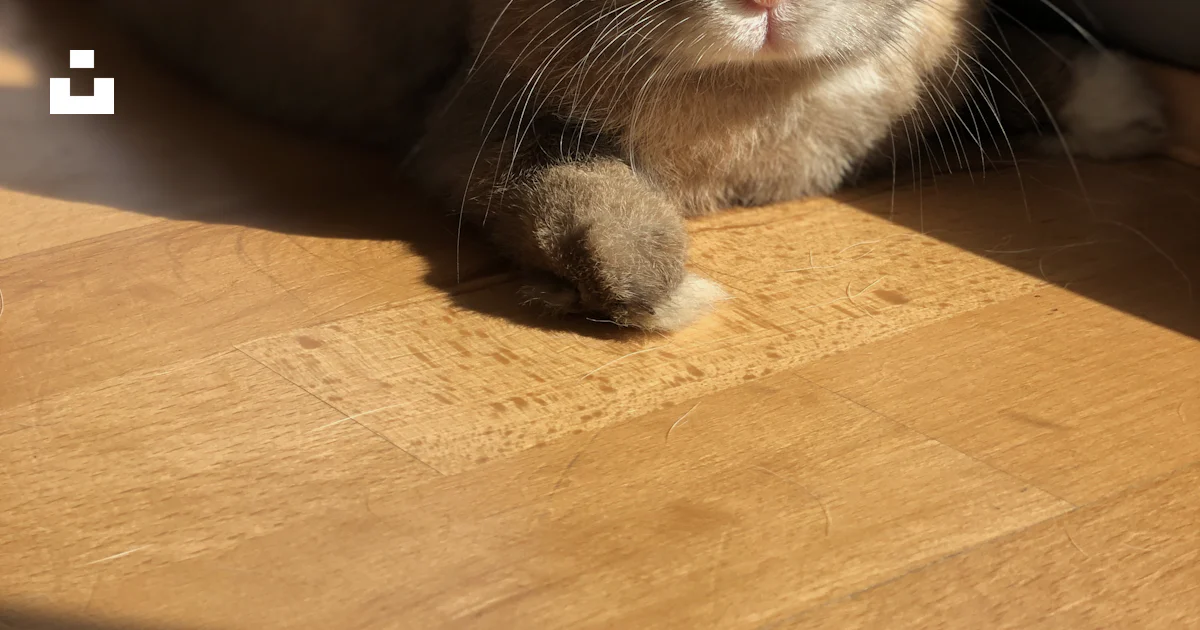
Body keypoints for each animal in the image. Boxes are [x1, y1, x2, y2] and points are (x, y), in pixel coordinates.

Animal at [102, 0, 1167, 331]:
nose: (764, 3)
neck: (761, 86)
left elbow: (1011, 64)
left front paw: (1133, 110)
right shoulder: (483, 128)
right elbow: (576, 196)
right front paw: (658, 291)